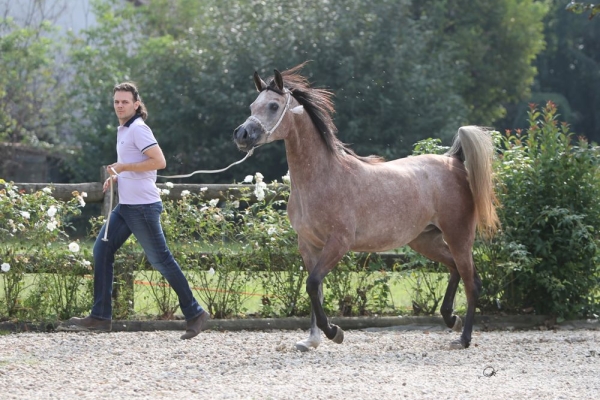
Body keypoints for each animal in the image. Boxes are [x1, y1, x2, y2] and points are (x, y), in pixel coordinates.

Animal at [233, 63, 499, 350]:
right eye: (252, 105)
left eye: (273, 106)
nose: (241, 134)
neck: (322, 177)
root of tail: (454, 161)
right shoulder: (308, 245)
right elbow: (317, 289)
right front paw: (311, 340)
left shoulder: (338, 242)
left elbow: (313, 284)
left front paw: (333, 332)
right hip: (425, 240)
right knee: (454, 269)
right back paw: (451, 319)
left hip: (459, 236)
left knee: (472, 282)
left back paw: (463, 338)